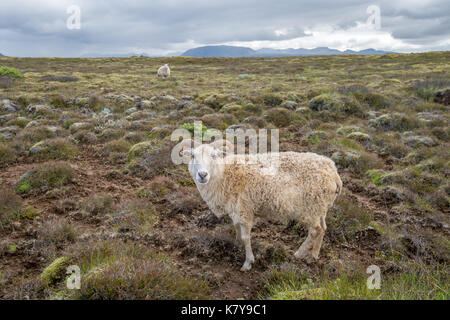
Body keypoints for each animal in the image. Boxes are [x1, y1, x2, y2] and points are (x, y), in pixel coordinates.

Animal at [179, 139, 342, 272]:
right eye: (192, 156)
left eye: (214, 156)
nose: (202, 175)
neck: (225, 174)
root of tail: (334, 173)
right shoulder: (236, 210)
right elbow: (236, 228)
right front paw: (237, 243)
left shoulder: (244, 210)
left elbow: (246, 237)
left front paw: (248, 262)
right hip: (320, 208)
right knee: (323, 228)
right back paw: (313, 255)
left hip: (310, 208)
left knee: (315, 231)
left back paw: (300, 254)